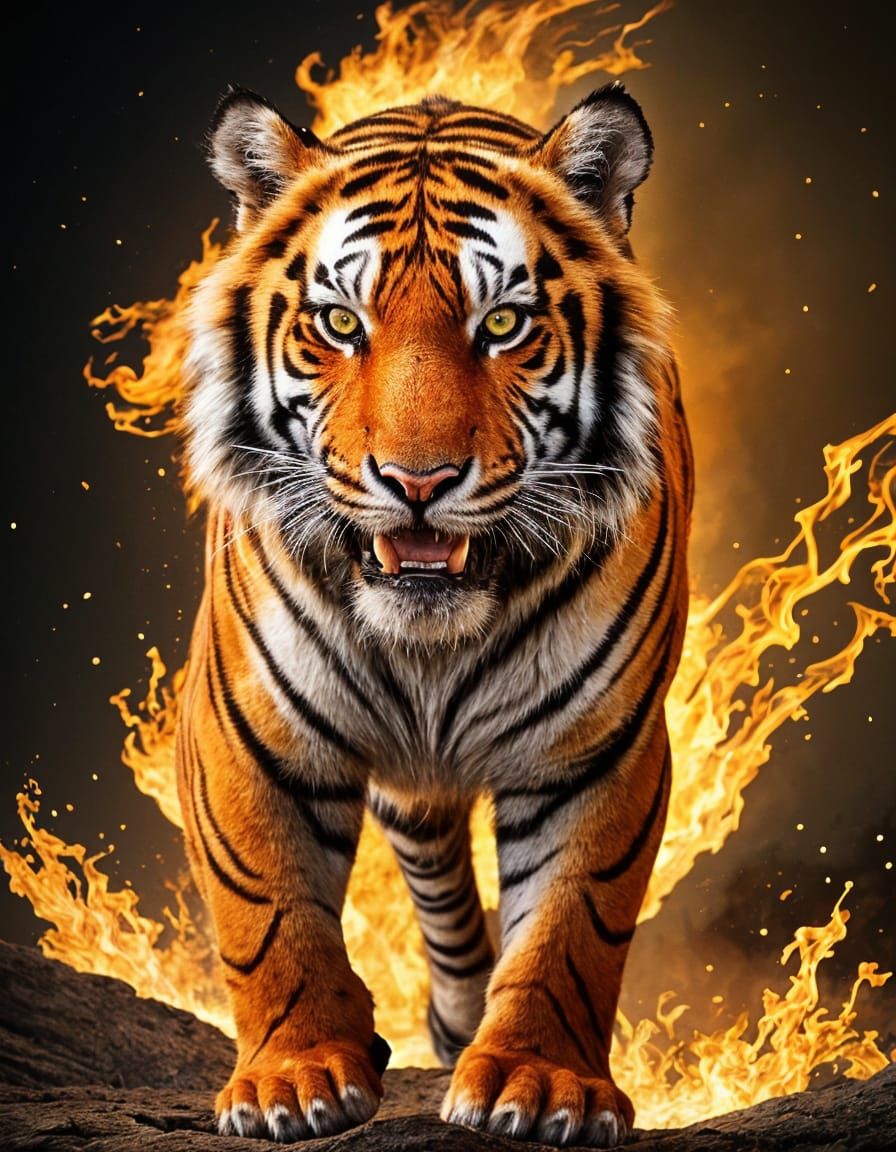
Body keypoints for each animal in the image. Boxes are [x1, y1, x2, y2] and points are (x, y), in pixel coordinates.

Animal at [175, 79, 692, 1147]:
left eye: (503, 325)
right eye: (339, 322)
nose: (418, 482)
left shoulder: (601, 749)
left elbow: (573, 925)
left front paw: (539, 1084)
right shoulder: (241, 731)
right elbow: (267, 912)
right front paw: (295, 1078)